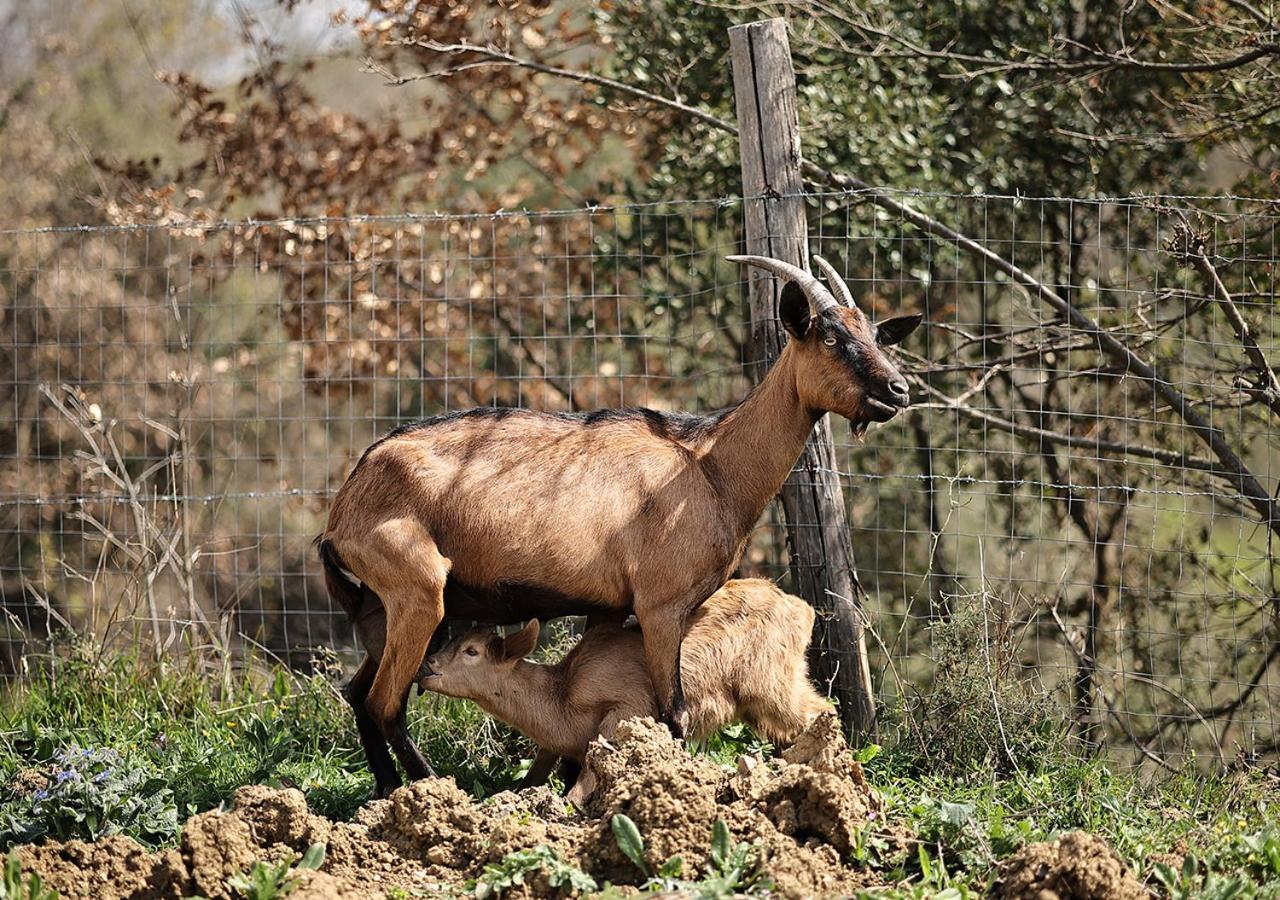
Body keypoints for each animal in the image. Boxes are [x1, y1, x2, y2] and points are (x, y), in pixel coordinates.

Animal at [320, 254, 921, 793]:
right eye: (831, 339)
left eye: (878, 336)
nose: (898, 390)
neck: (708, 466)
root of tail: (345, 504)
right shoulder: (660, 606)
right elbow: (673, 712)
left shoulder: (607, 610)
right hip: (419, 594)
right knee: (385, 702)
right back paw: (430, 794)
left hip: (382, 612)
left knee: (359, 696)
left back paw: (385, 792)